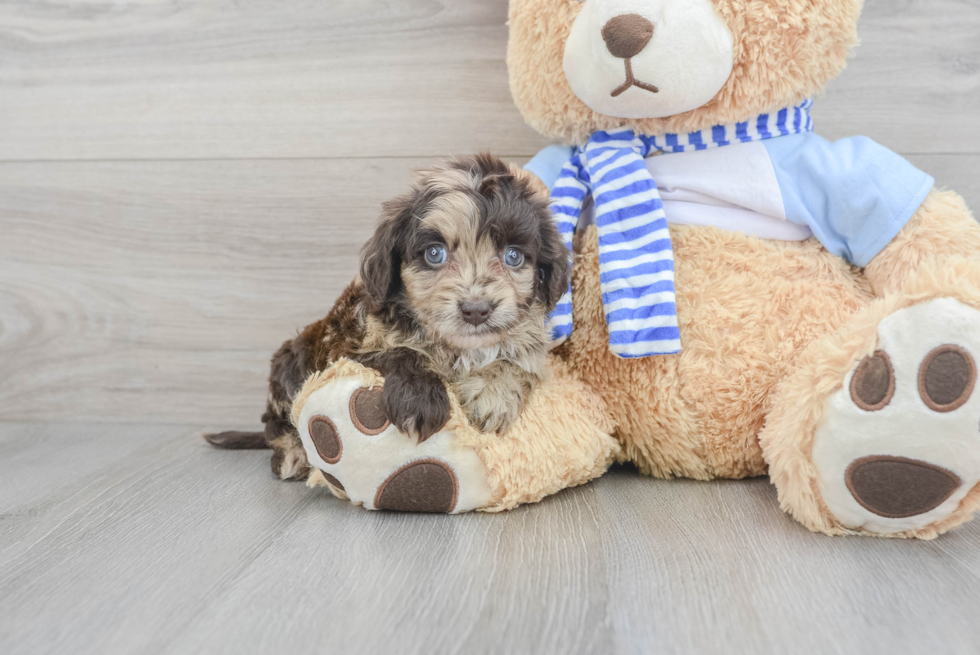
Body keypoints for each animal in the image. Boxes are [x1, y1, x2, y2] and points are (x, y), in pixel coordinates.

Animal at [209, 156, 576, 480]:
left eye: (513, 256)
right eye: (435, 253)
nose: (476, 310)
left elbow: (518, 359)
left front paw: (492, 394)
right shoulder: (344, 351)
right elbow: (401, 351)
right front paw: (420, 401)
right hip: (291, 362)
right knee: (278, 422)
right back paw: (293, 454)